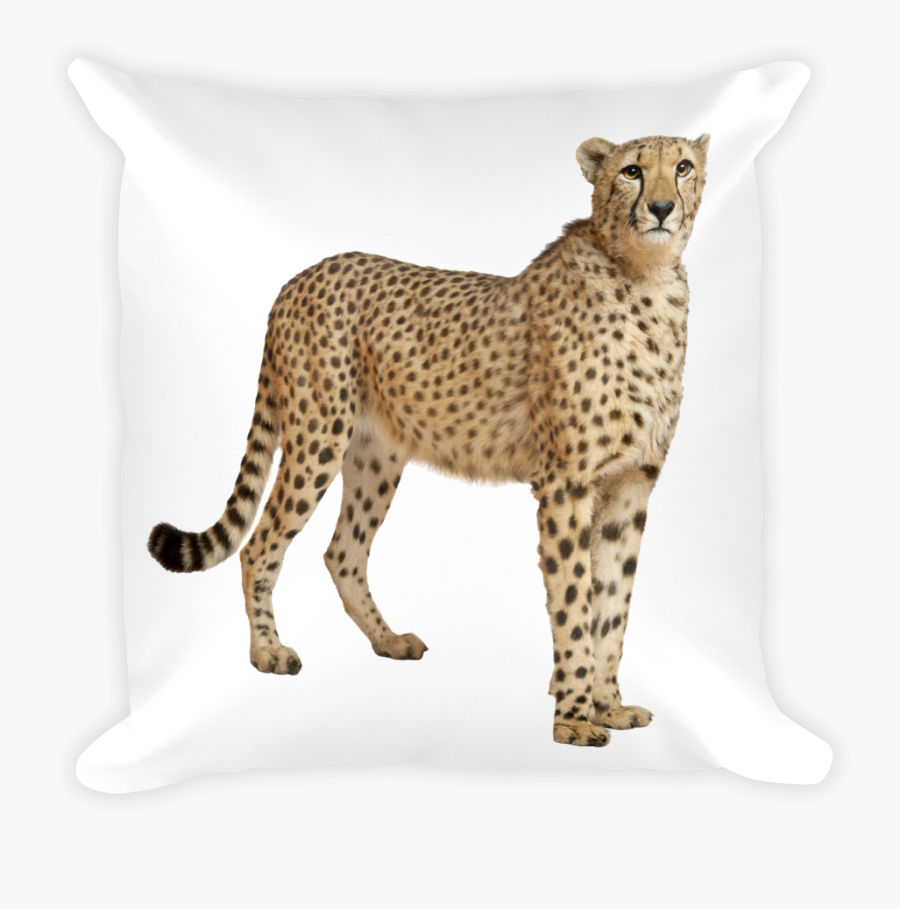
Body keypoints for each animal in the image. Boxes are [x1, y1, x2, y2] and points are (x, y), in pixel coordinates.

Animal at [148, 132, 710, 747]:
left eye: (683, 167)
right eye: (632, 171)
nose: (661, 207)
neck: (644, 278)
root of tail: (302, 276)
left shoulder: (631, 485)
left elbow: (613, 604)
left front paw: (609, 705)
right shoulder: (566, 484)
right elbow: (573, 601)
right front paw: (573, 717)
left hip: (376, 455)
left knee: (343, 552)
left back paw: (387, 641)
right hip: (317, 437)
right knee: (260, 544)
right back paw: (268, 652)